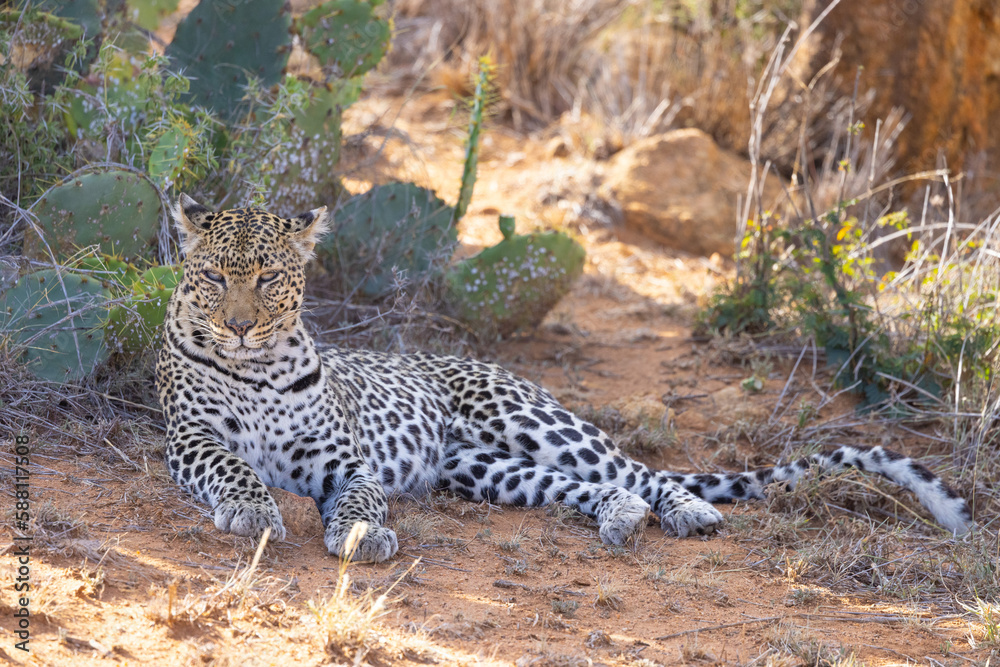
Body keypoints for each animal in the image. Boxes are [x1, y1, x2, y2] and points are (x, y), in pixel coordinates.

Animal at [155, 195, 974, 562]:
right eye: (213, 277)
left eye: (268, 278)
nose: (238, 324)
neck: (257, 367)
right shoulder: (190, 439)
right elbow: (235, 466)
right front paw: (254, 511)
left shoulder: (345, 458)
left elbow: (358, 491)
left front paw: (362, 529)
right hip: (479, 468)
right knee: (589, 489)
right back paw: (618, 519)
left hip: (533, 423)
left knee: (640, 472)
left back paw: (687, 512)